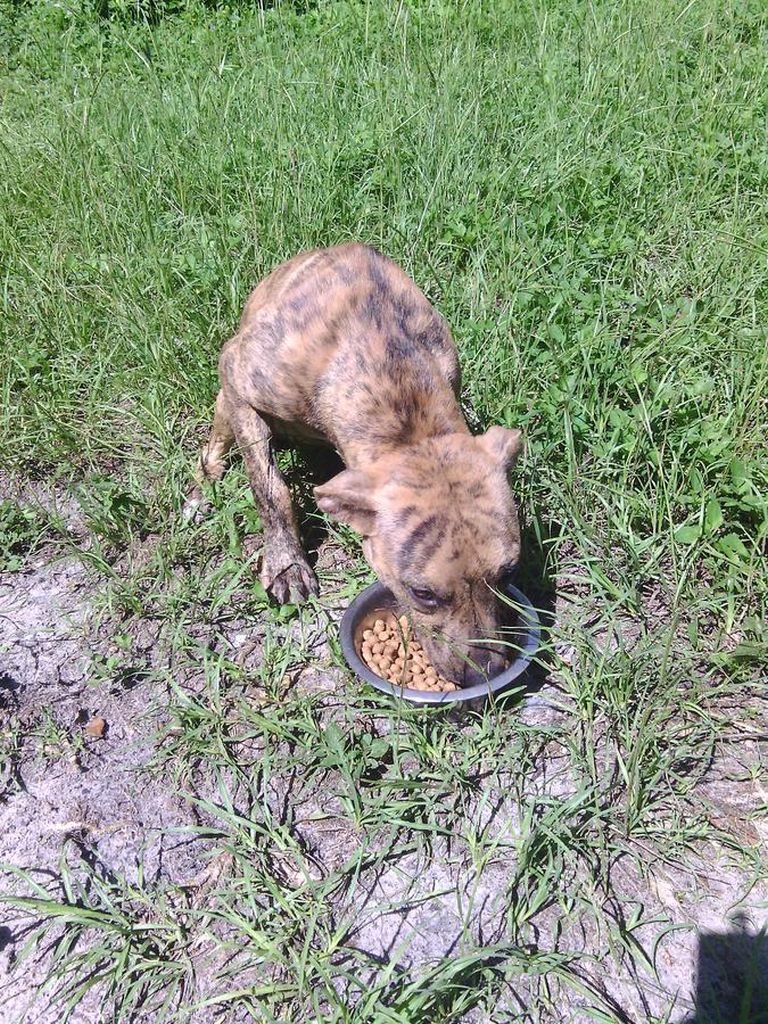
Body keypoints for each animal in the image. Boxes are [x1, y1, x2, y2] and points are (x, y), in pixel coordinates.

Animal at [192, 242, 528, 684]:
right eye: (422, 594)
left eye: (508, 574)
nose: (484, 674)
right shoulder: (237, 372)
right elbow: (270, 488)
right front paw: (286, 565)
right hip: (225, 405)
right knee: (217, 442)